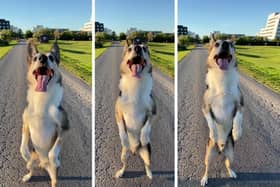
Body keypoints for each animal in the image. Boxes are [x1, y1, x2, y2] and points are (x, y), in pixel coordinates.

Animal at [19, 41, 69, 187]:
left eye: (51, 57)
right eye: (35, 58)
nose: (42, 58)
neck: (42, 97)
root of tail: (42, 164)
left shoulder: (64, 127)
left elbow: (54, 150)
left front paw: (54, 158)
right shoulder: (26, 123)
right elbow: (23, 144)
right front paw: (25, 153)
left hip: (54, 174)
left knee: (53, 180)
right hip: (31, 163)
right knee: (31, 169)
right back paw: (27, 176)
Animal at [115, 38, 156, 180]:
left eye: (144, 48)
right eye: (130, 49)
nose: (138, 48)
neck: (135, 83)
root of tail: (135, 150)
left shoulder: (153, 110)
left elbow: (147, 125)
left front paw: (143, 137)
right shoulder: (118, 111)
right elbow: (121, 127)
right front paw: (123, 138)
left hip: (148, 154)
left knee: (147, 164)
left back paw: (149, 174)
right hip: (123, 154)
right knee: (124, 164)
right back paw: (120, 172)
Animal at [200, 34, 244, 186]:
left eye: (230, 44)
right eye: (217, 44)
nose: (225, 44)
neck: (222, 76)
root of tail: (221, 148)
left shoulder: (240, 104)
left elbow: (238, 118)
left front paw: (237, 132)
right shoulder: (205, 107)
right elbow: (210, 122)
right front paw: (213, 132)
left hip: (231, 154)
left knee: (227, 164)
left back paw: (232, 172)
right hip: (208, 154)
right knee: (207, 168)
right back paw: (204, 178)